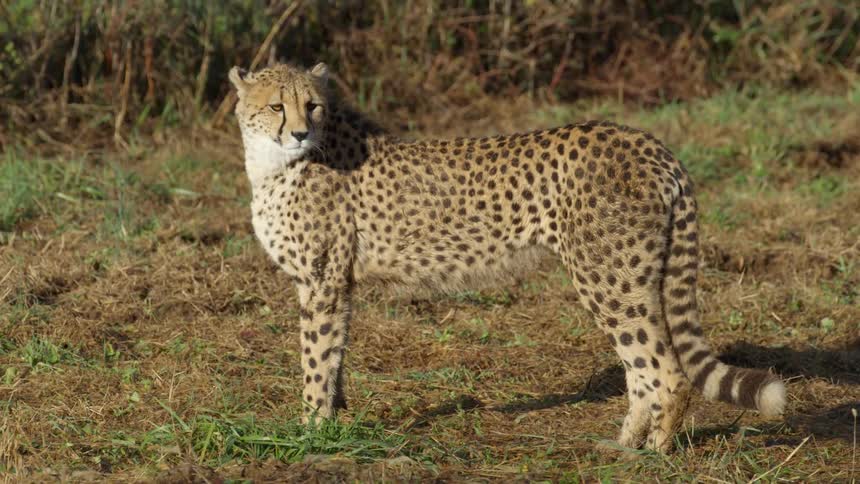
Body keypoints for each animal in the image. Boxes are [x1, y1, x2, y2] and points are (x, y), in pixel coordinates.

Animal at [228, 62, 786, 452]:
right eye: (276, 107)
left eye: (313, 105)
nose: (300, 132)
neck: (274, 163)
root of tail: (646, 141)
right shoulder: (336, 283)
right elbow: (335, 356)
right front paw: (332, 419)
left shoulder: (320, 281)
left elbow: (315, 360)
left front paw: (309, 431)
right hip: (630, 278)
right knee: (640, 369)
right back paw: (623, 443)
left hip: (607, 277)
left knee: (664, 370)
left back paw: (652, 453)